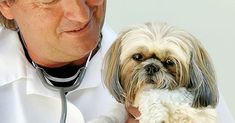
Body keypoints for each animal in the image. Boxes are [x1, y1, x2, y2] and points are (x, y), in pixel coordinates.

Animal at [88, 21, 218, 122]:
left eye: (170, 62)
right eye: (137, 56)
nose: (152, 67)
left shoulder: (184, 98)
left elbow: (156, 94)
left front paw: (151, 116)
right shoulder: (124, 108)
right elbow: (113, 114)